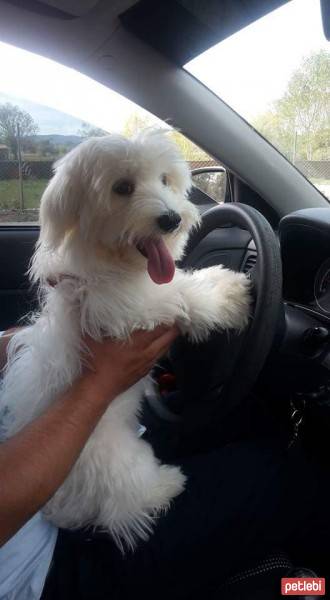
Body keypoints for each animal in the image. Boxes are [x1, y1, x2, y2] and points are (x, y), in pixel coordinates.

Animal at [0, 129, 250, 552]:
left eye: (165, 180)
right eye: (122, 188)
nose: (170, 219)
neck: (114, 266)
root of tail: (62, 509)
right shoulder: (122, 309)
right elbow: (179, 293)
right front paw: (229, 293)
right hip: (122, 464)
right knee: (128, 503)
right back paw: (166, 484)